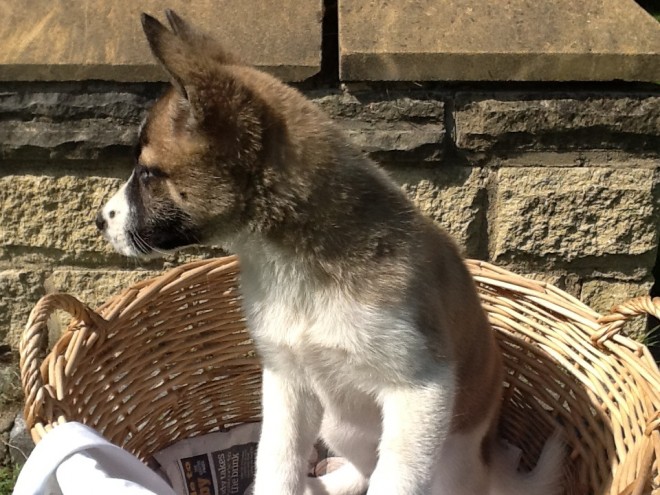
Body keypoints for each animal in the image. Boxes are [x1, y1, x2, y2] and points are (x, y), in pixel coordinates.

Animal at [98, 11, 564, 495]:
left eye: (147, 174)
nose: (99, 221)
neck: (293, 261)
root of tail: (490, 469)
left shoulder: (420, 390)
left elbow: (393, 481)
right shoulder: (287, 380)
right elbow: (276, 462)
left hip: (441, 457)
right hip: (339, 424)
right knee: (361, 469)